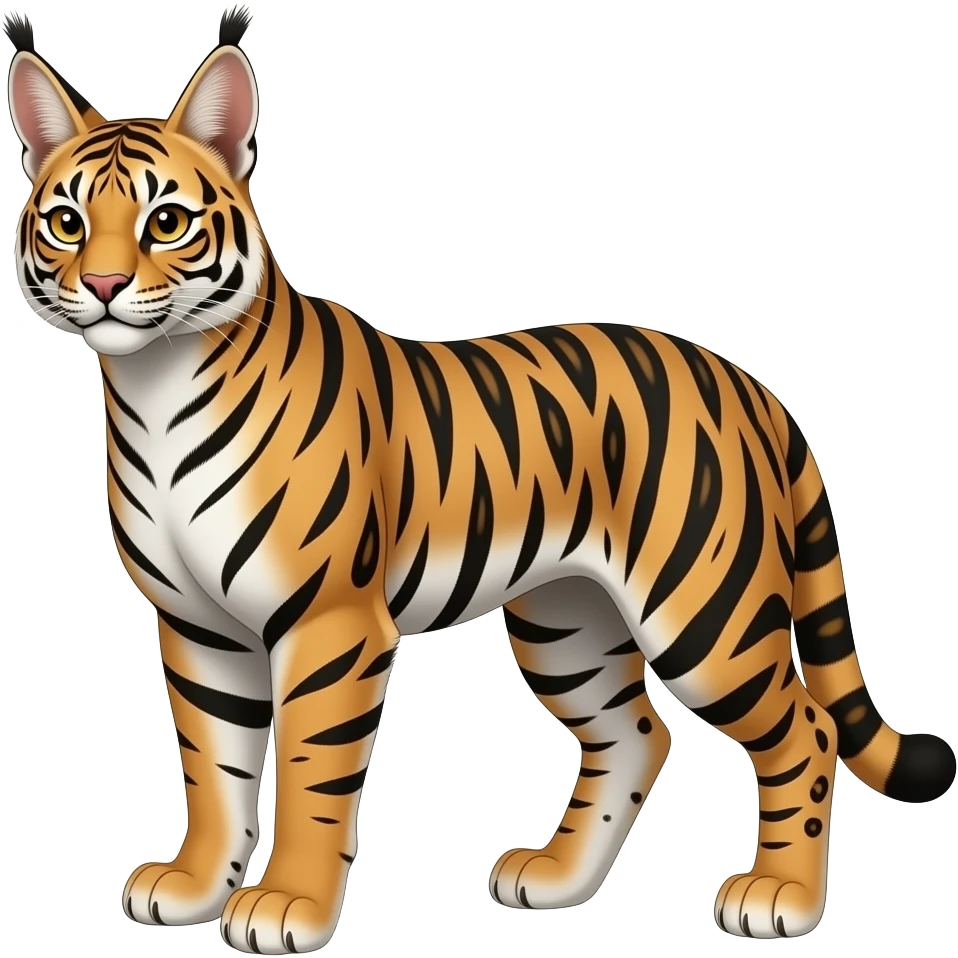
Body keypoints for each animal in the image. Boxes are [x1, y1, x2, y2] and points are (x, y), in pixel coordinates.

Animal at [4, 5, 955, 953]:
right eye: (66, 222)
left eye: (166, 222)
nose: (103, 283)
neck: (154, 385)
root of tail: (745, 381)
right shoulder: (198, 626)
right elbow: (213, 768)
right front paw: (196, 884)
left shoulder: (327, 625)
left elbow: (310, 775)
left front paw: (287, 907)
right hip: (568, 621)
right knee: (637, 734)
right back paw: (558, 878)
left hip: (705, 616)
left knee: (807, 731)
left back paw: (779, 897)